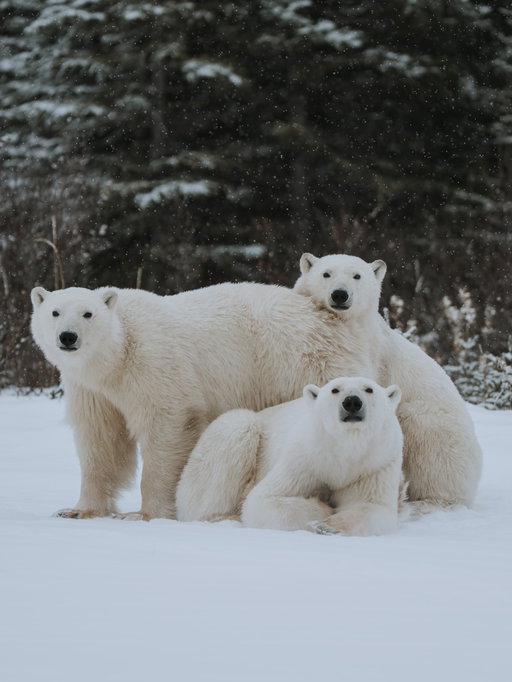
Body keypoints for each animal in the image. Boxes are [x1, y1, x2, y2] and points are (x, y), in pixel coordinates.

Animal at [30, 282, 383, 520]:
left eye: (88, 313)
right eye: (55, 312)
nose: (68, 337)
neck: (116, 357)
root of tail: (331, 321)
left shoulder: (154, 364)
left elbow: (168, 425)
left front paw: (146, 514)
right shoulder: (91, 389)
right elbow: (101, 441)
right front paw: (78, 510)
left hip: (300, 362)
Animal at [176, 376, 404, 536]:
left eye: (369, 389)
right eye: (335, 389)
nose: (352, 402)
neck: (345, 449)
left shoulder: (373, 466)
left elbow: (373, 508)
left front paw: (329, 526)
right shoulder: (305, 458)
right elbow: (264, 499)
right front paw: (323, 508)